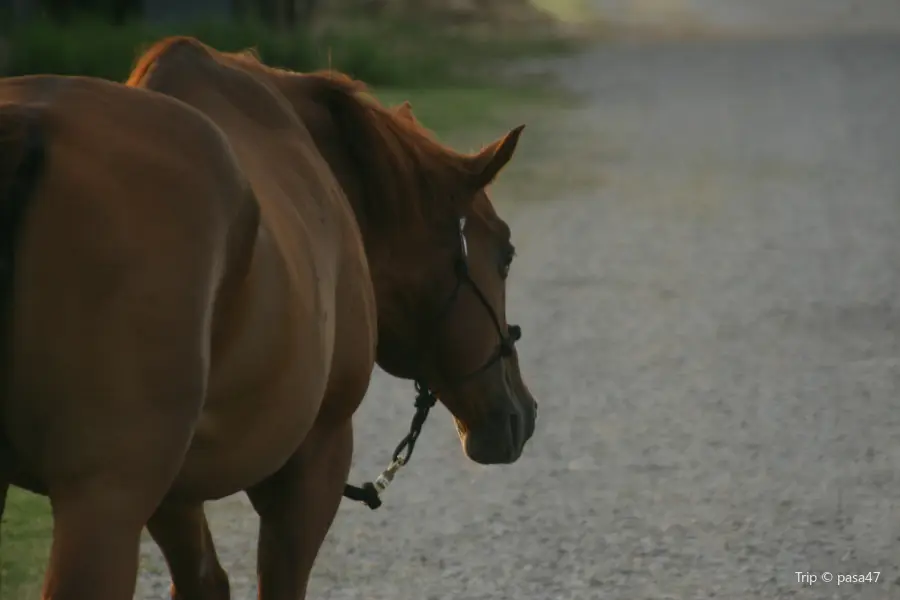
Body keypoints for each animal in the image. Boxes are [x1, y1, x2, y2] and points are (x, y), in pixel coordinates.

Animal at [0, 36, 536, 600]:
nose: (522, 413)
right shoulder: (314, 457)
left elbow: (204, 581)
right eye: (506, 253)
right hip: (104, 503)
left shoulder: (175, 493)